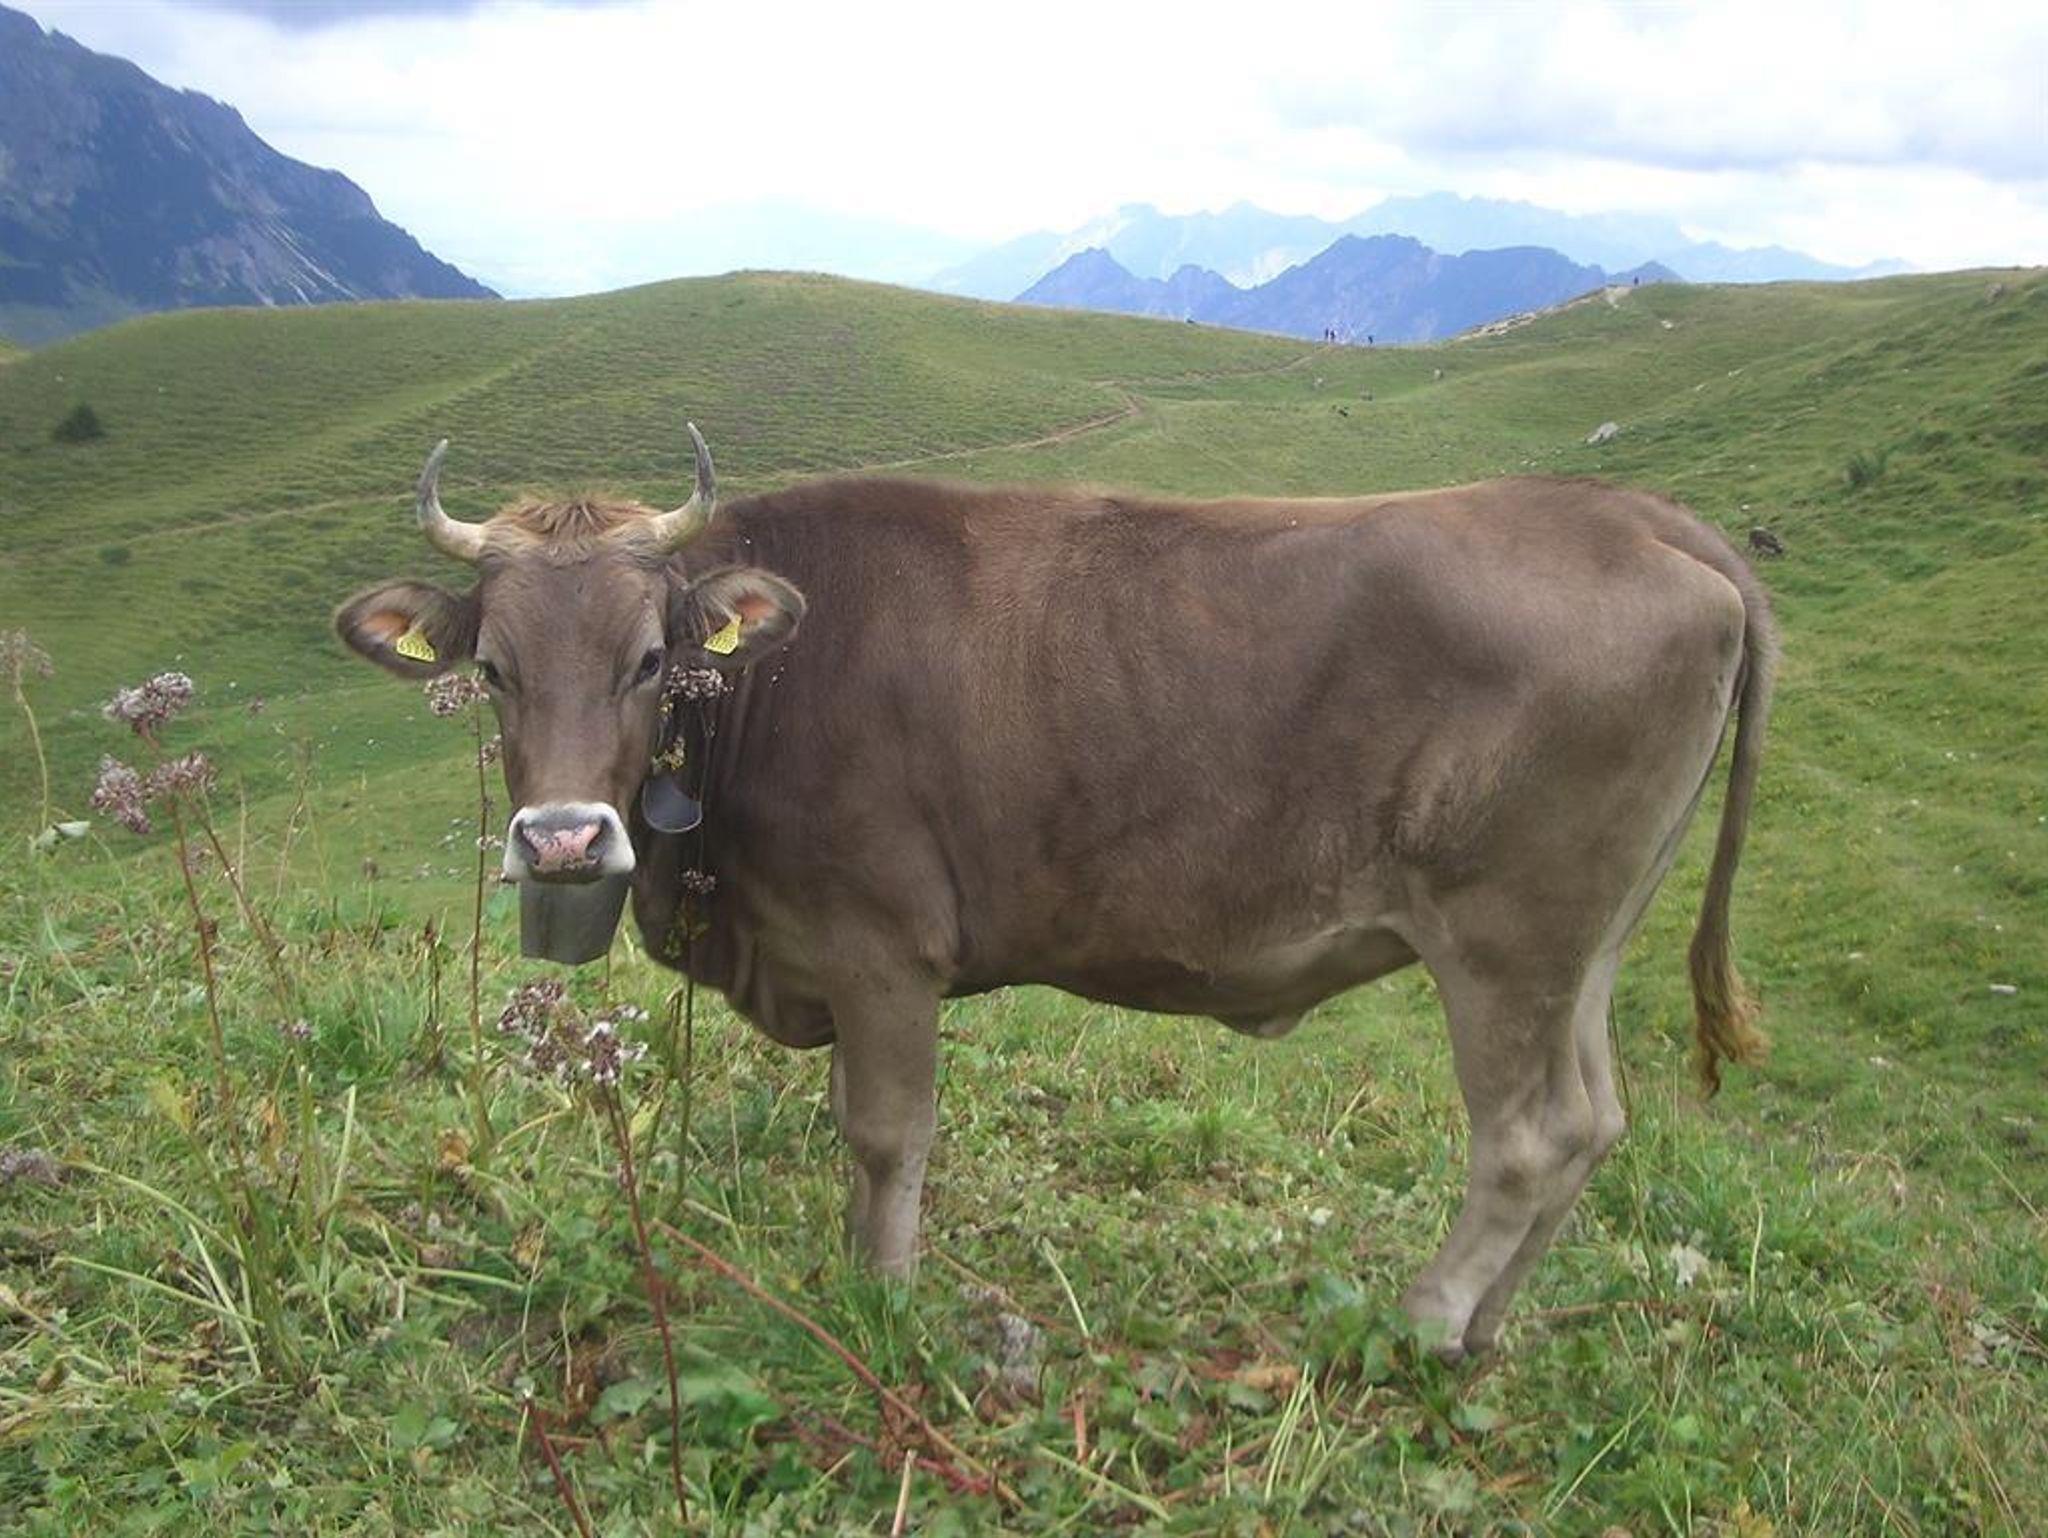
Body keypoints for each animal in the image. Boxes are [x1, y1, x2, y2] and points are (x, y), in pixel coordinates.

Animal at [336, 426, 1775, 1358]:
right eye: (496, 669)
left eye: (647, 658)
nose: (564, 844)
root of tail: (1634, 513)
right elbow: (848, 1128)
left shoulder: (880, 943)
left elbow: (884, 1131)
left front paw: (885, 1300)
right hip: (1586, 938)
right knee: (1592, 1119)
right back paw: (1484, 1332)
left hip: (1505, 932)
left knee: (1528, 1135)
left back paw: (1420, 1323)